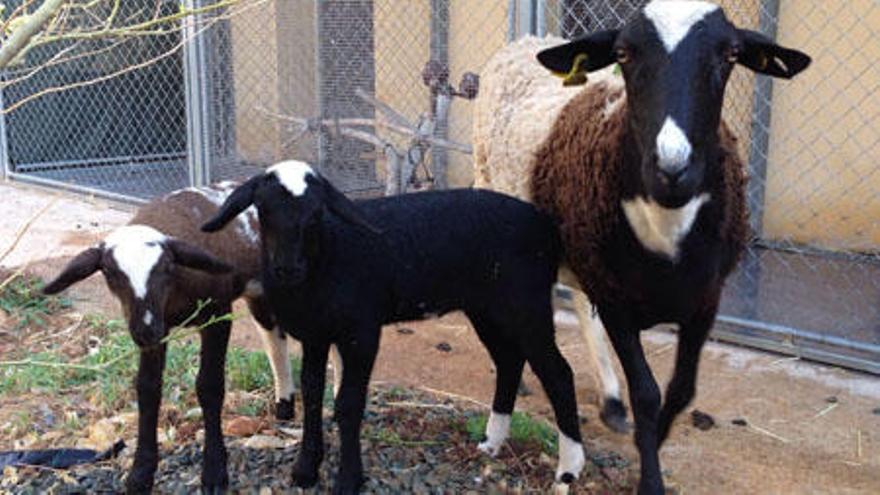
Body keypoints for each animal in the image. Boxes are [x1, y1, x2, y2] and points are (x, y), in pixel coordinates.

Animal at [43, 181, 342, 492]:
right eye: (111, 274)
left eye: (165, 268)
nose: (144, 330)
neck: (174, 293)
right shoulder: (158, 328)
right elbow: (147, 389)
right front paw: (141, 473)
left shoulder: (216, 313)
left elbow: (209, 386)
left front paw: (214, 472)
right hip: (260, 291)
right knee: (273, 336)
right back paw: (284, 404)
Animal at [199, 161, 584, 494]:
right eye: (263, 211)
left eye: (316, 214)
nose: (287, 269)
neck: (328, 256)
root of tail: (546, 226)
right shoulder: (316, 335)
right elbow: (312, 393)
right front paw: (306, 469)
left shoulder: (362, 332)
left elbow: (348, 403)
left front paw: (348, 480)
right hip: (487, 309)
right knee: (508, 361)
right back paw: (492, 441)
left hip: (527, 304)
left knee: (559, 374)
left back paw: (569, 469)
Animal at [474, 1, 812, 494]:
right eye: (623, 53)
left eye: (731, 54)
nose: (672, 168)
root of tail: (527, 42)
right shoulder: (617, 303)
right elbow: (648, 394)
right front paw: (650, 474)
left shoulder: (705, 300)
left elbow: (681, 390)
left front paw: (658, 434)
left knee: (578, 298)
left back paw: (611, 402)